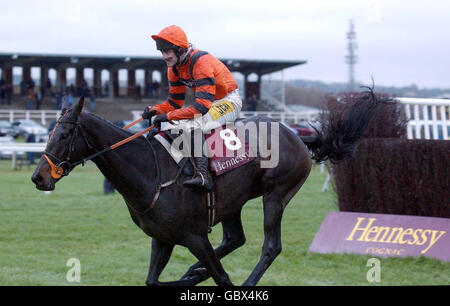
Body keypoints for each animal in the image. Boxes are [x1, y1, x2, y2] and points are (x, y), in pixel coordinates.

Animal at [31, 89, 384, 286]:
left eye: (65, 134)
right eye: (49, 131)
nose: (39, 177)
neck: (148, 171)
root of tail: (297, 134)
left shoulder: (195, 236)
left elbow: (223, 278)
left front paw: (201, 273)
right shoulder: (163, 238)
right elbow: (153, 281)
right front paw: (192, 274)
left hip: (276, 194)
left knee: (270, 247)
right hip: (233, 202)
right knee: (234, 238)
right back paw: (196, 271)